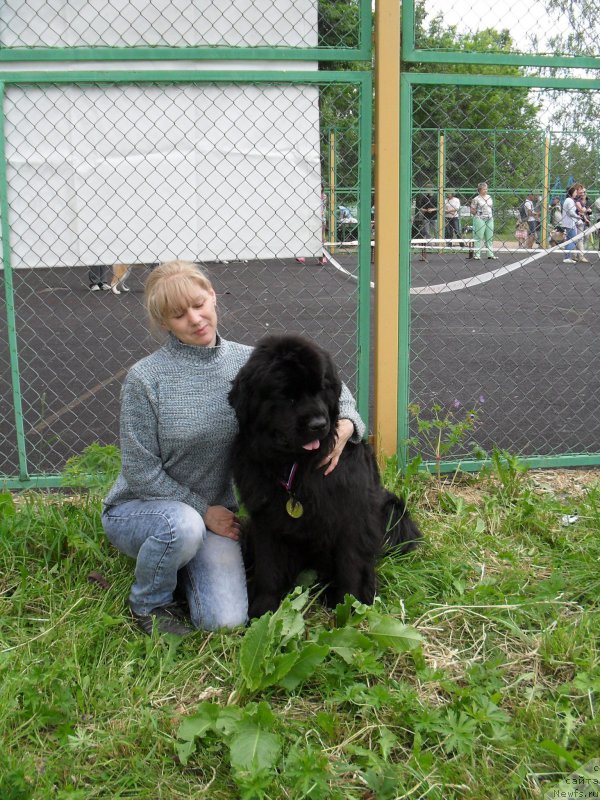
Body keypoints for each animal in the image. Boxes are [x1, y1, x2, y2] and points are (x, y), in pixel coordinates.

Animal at [227, 332, 420, 620]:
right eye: (286, 395)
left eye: (321, 389)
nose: (318, 424)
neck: (295, 467)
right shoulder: (265, 520)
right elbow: (268, 567)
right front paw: (263, 609)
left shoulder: (352, 516)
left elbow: (351, 564)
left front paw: (349, 605)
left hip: (394, 511)